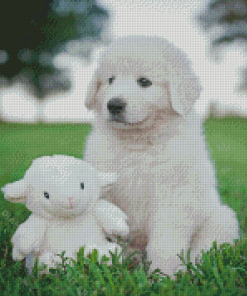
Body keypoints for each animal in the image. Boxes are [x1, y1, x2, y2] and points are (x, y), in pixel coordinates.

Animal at [83, 35, 239, 276]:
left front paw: (163, 274)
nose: (114, 105)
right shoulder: (106, 191)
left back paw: (190, 269)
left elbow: (165, 242)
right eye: (110, 80)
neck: (138, 143)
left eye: (144, 82)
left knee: (204, 249)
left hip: (222, 219)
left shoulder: (174, 197)